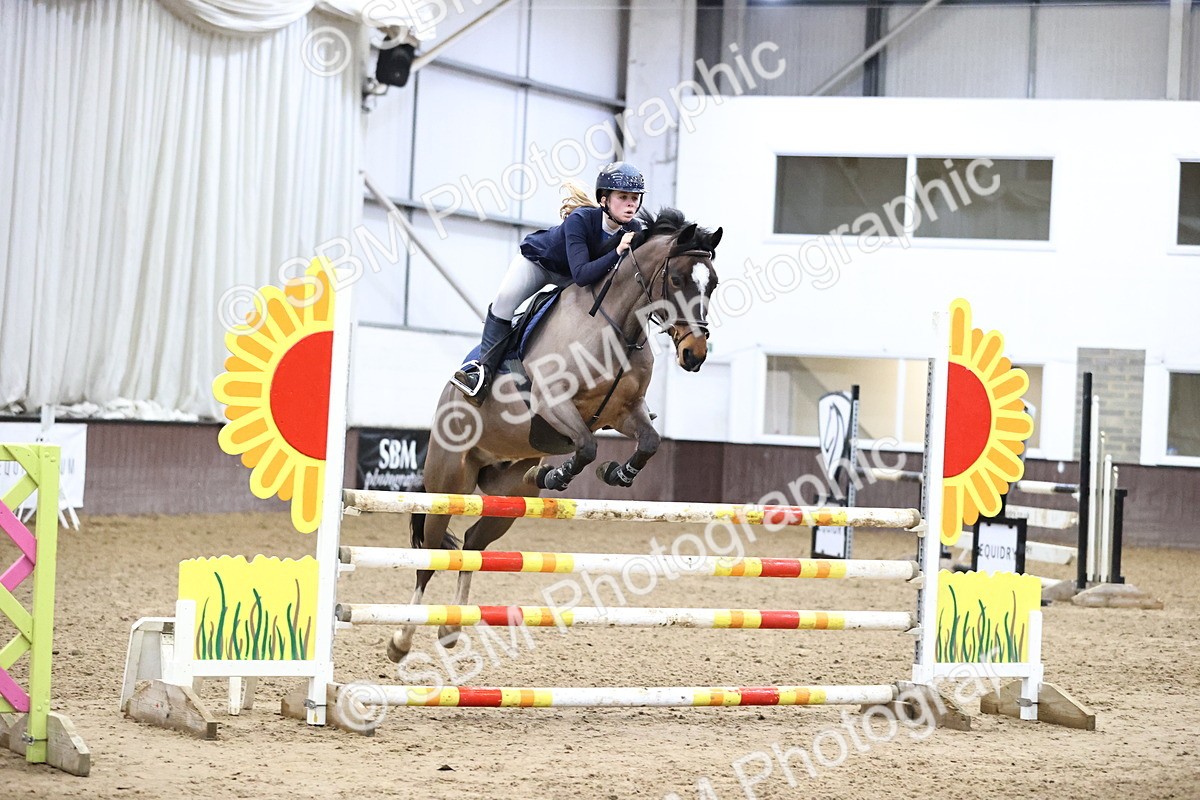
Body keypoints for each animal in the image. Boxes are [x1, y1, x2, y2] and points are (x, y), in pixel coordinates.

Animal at [389, 207, 722, 663]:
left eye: (713, 283)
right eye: (675, 279)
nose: (695, 354)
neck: (616, 325)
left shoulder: (624, 411)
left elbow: (649, 442)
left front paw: (616, 474)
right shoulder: (553, 404)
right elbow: (586, 446)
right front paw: (558, 475)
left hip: (506, 496)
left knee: (472, 545)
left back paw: (451, 629)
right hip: (447, 483)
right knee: (429, 558)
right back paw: (402, 640)